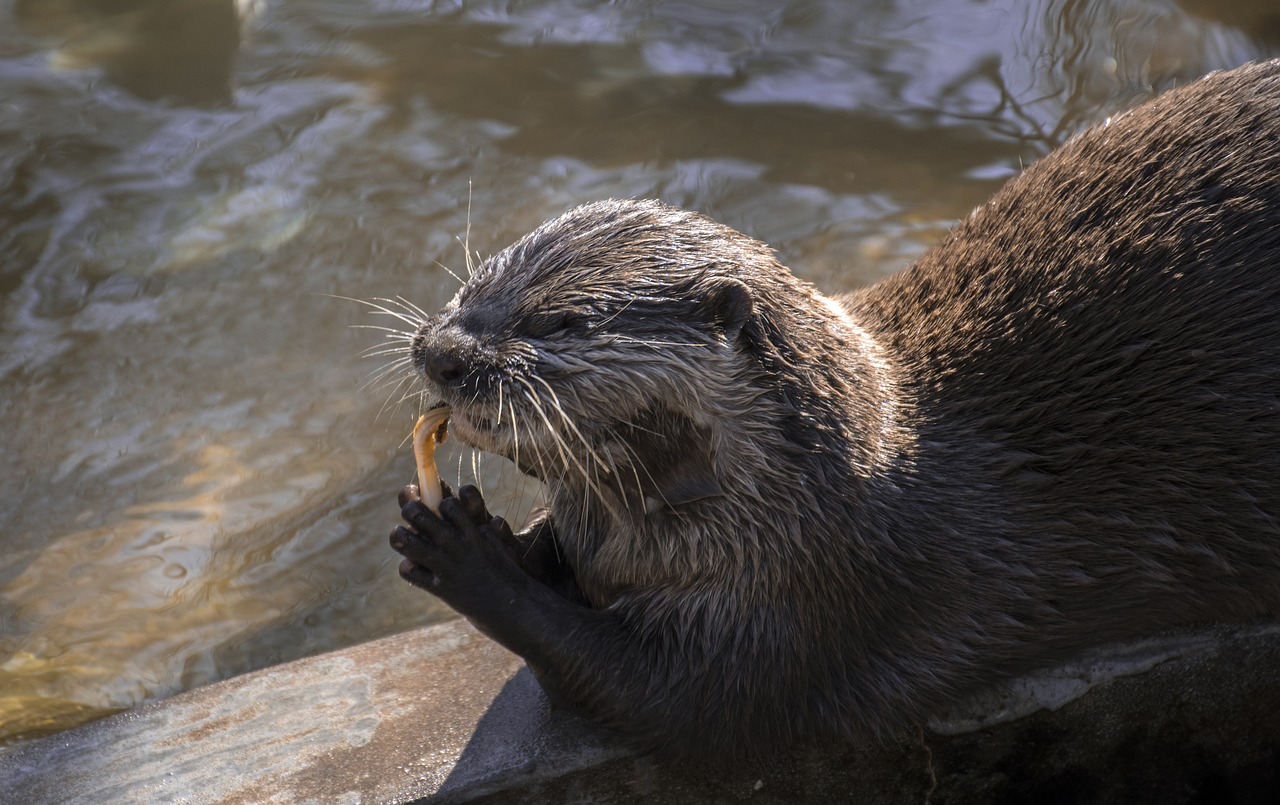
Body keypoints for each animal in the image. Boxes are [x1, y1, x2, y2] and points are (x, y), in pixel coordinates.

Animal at [386, 59, 1280, 757]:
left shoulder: (810, 598)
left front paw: (466, 554)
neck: (811, 488)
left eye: (561, 322)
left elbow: (663, 701)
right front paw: (506, 532)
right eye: (471, 287)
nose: (443, 349)